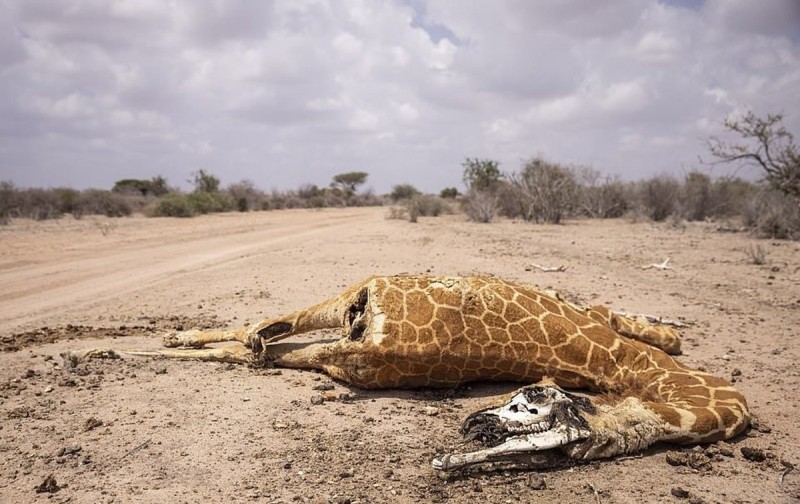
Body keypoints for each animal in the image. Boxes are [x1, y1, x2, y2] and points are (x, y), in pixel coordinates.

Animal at [67, 274, 752, 470]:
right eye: (528, 407)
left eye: (560, 452)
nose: (465, 441)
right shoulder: (597, 318)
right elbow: (659, 327)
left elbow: (257, 339)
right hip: (353, 314)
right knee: (262, 337)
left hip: (349, 339)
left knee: (260, 343)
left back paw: (125, 350)